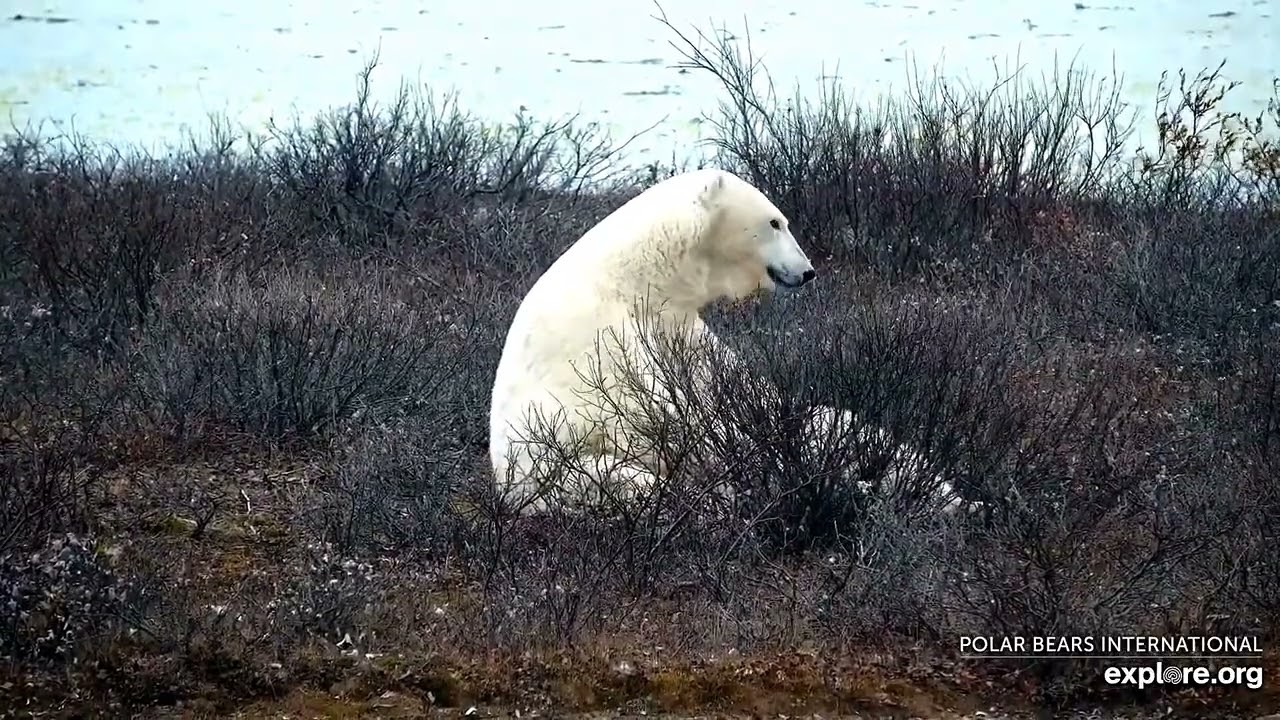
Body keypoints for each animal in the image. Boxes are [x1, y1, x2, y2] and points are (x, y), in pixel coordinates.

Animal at [488, 168, 969, 515]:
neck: (637, 273)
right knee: (631, 482)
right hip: (562, 472)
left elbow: (739, 390)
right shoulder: (606, 333)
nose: (808, 271)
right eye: (775, 221)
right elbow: (650, 406)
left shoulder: (678, 325)